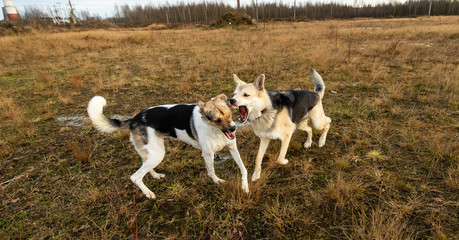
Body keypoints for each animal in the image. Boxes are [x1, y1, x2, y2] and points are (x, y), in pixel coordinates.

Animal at [88, 94, 250, 199]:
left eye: (230, 114)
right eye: (217, 120)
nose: (233, 129)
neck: (215, 130)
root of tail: (134, 119)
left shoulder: (233, 149)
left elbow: (244, 169)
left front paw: (245, 186)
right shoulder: (208, 155)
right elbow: (211, 172)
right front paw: (217, 181)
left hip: (151, 152)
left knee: (145, 166)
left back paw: (156, 176)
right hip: (158, 153)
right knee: (135, 177)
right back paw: (149, 193)